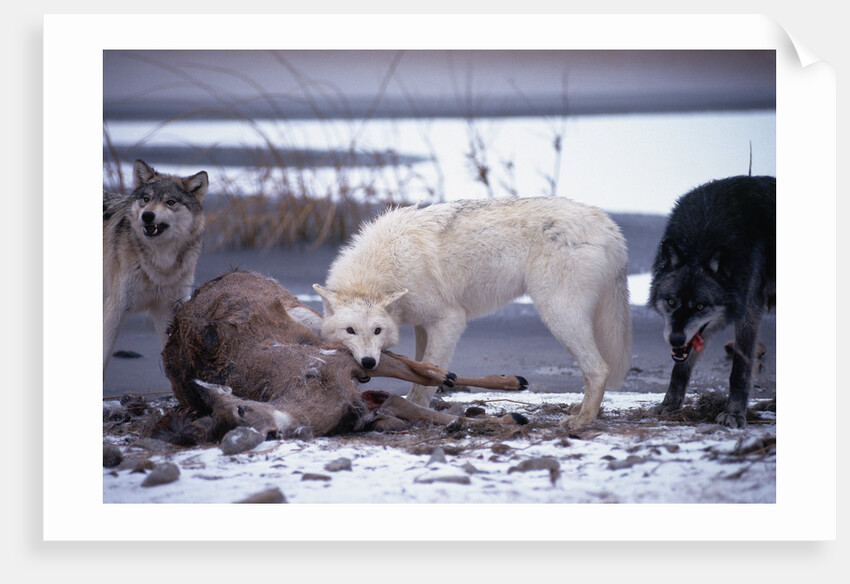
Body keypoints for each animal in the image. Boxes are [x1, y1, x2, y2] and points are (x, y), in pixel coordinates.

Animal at [103, 159, 209, 374]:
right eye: (146, 199)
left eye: (170, 202)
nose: (147, 215)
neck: (161, 266)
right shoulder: (115, 309)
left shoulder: (168, 311)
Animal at [160, 270, 529, 443]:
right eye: (221, 427)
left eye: (241, 409)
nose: (268, 435)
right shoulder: (368, 398)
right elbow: (416, 408)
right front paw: (510, 418)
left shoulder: (337, 358)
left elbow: (413, 373)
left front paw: (510, 398)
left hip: (308, 316)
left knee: (409, 362)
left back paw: (509, 380)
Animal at [313, 196, 632, 428]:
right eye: (350, 331)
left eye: (377, 331)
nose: (368, 363)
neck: (387, 267)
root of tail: (608, 225)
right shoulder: (421, 325)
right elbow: (419, 367)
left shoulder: (449, 321)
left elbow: (426, 379)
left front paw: (412, 408)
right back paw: (583, 409)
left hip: (558, 315)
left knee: (598, 368)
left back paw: (583, 420)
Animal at [648, 175, 775, 428]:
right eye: (671, 302)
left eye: (700, 306)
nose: (675, 339)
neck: (701, 240)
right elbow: (679, 369)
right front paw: (669, 405)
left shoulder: (750, 311)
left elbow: (740, 369)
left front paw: (734, 413)